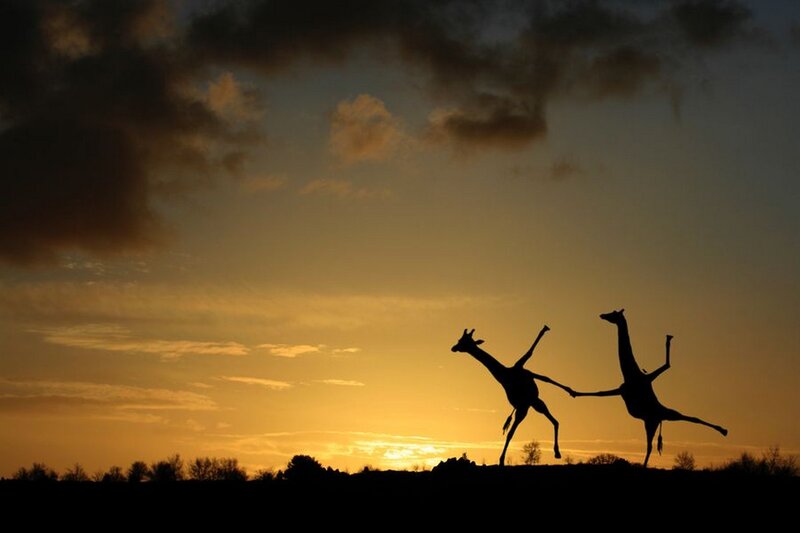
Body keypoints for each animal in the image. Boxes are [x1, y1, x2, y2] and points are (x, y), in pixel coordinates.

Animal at [451, 326, 575, 465]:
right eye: (460, 340)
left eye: (463, 341)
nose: (454, 347)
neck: (505, 375)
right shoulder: (522, 404)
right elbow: (510, 433)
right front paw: (501, 460)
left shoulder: (525, 372)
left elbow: (541, 370)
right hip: (532, 405)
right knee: (553, 421)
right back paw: (556, 452)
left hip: (532, 403)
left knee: (553, 420)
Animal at [572, 309, 728, 466]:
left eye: (614, 314)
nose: (602, 315)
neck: (630, 374)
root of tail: (660, 417)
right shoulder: (622, 390)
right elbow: (601, 392)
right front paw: (571, 391)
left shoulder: (642, 381)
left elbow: (666, 365)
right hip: (655, 420)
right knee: (679, 425)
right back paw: (723, 430)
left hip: (653, 421)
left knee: (661, 438)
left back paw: (723, 430)